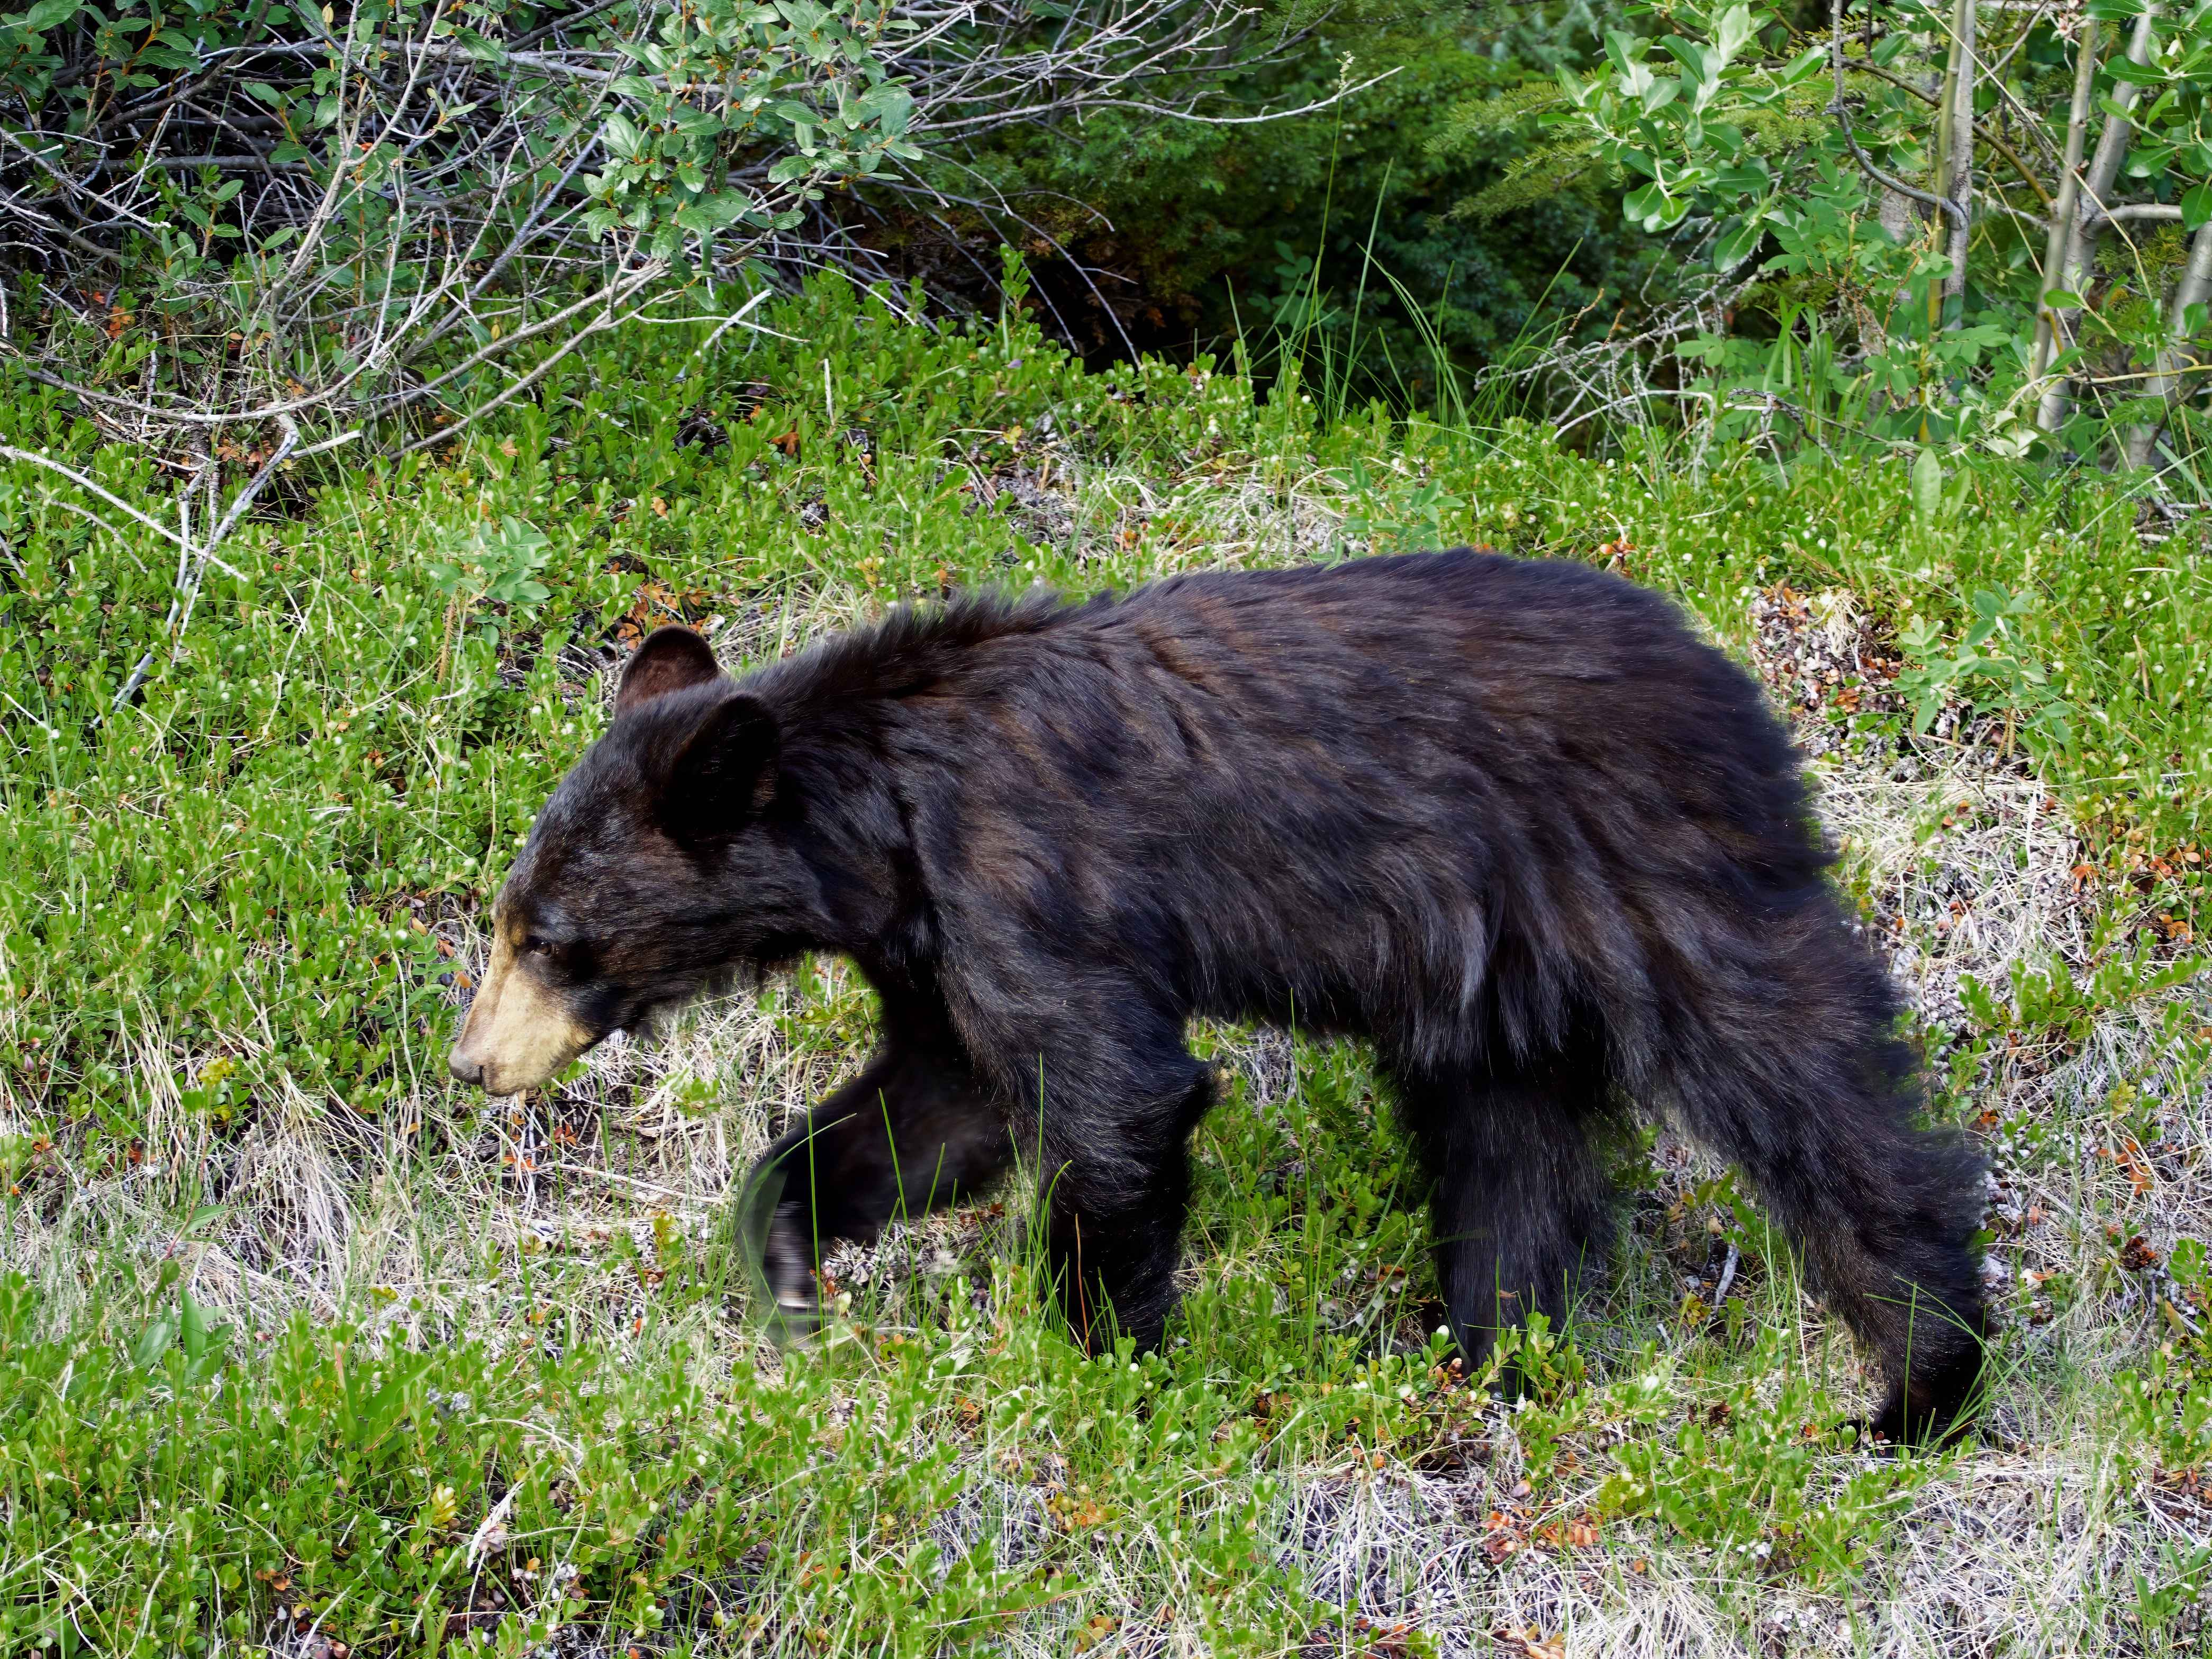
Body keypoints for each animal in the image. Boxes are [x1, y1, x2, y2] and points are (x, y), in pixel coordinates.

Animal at [447, 549, 1988, 1443]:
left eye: (550, 936)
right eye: (510, 916)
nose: (472, 1062)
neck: (883, 812)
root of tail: (1735, 679)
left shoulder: (1023, 882)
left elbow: (1114, 1093)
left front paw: (1104, 1367)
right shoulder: (933, 944)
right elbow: (942, 1104)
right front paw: (783, 1263)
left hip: (1650, 876)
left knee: (1801, 1079)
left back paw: (1919, 1375)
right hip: (1491, 970)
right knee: (1511, 1144)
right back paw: (1485, 1351)